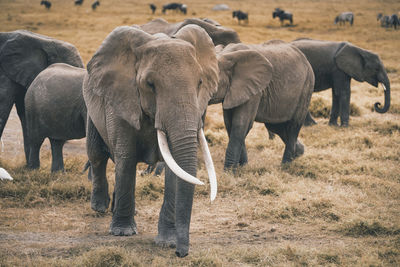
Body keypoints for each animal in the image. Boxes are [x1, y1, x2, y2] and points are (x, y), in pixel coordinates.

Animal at [82, 24, 217, 258]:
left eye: (200, 82)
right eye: (150, 84)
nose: (181, 253)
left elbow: (175, 167)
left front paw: (167, 242)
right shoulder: (122, 99)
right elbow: (126, 159)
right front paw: (123, 232)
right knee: (97, 154)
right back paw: (99, 207)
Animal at [212, 41, 316, 172]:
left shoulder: (255, 90)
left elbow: (240, 124)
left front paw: (230, 173)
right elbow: (230, 124)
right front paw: (243, 167)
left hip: (307, 86)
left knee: (293, 126)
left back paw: (285, 165)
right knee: (276, 126)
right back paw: (299, 153)